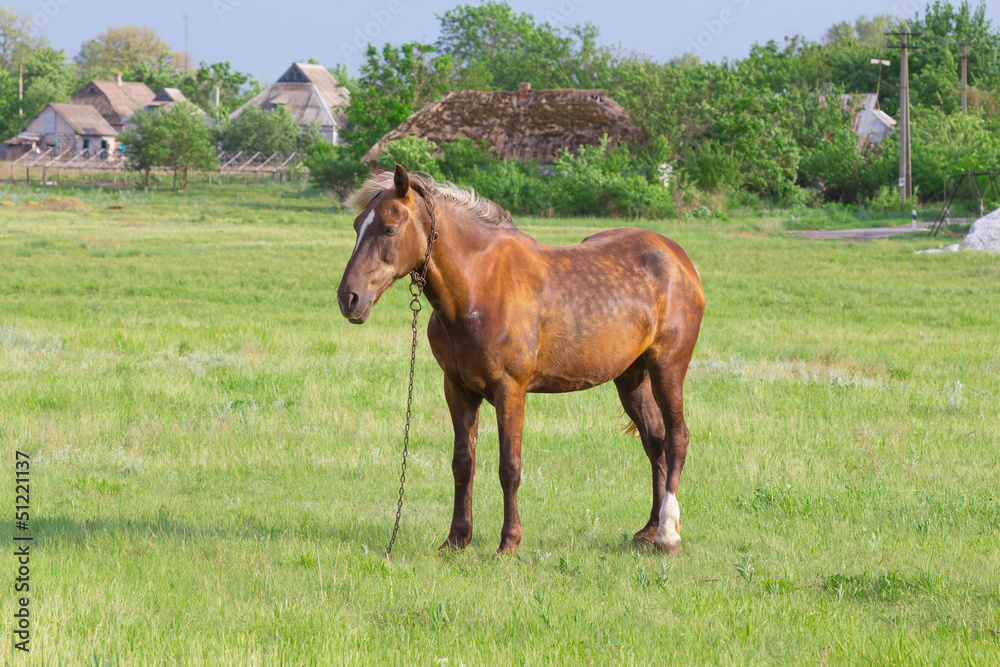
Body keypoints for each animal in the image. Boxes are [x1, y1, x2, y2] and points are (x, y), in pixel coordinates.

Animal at [336, 167, 704, 560]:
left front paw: (508, 543)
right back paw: (648, 530)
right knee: (655, 441)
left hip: (668, 368)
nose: (349, 298)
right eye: (357, 225)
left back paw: (667, 535)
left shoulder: (510, 390)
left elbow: (509, 467)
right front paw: (456, 539)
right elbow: (462, 463)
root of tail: (680, 259)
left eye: (389, 228)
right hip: (631, 378)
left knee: (677, 438)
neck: (478, 285)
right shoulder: (458, 389)